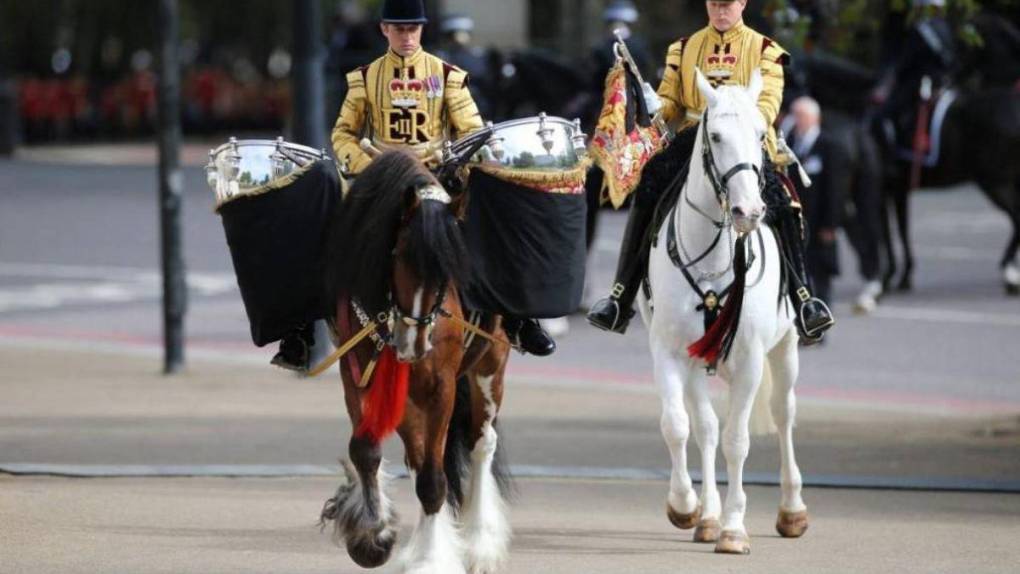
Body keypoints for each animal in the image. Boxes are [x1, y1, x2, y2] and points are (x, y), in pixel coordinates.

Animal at [322, 151, 514, 574]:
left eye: (451, 269)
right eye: (397, 255)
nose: (413, 345)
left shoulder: (440, 385)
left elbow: (433, 477)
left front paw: (430, 559)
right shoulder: (358, 375)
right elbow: (366, 450)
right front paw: (372, 536)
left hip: (489, 367)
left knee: (480, 444)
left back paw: (480, 543)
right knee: (420, 454)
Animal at [640, 69, 807, 554]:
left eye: (758, 132)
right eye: (714, 135)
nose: (748, 211)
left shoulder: (749, 358)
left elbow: (738, 439)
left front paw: (734, 528)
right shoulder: (670, 352)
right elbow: (679, 426)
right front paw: (686, 506)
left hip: (786, 347)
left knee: (784, 413)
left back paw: (791, 509)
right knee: (705, 426)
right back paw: (707, 516)